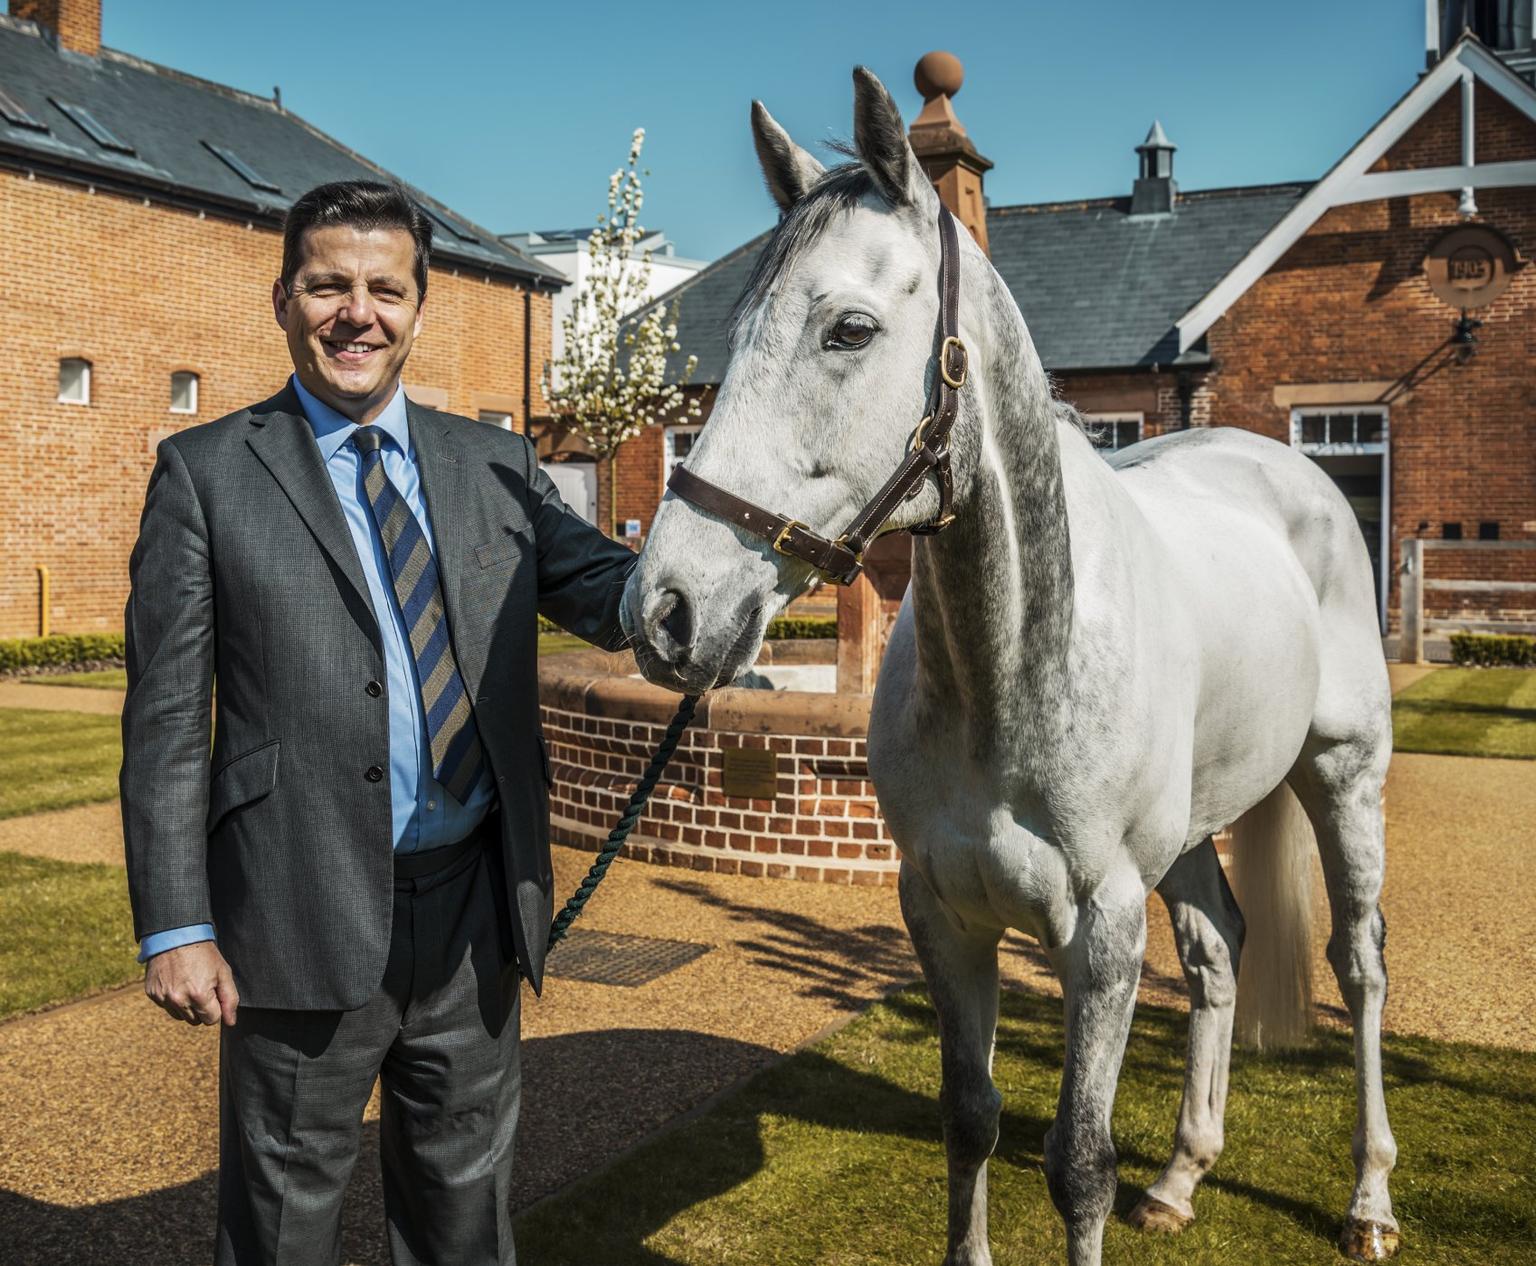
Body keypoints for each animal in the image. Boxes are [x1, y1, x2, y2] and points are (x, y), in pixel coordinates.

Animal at [619, 67, 1399, 1266]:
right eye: (735, 331)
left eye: (849, 329)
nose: (665, 611)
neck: (1016, 666)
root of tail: (1286, 469)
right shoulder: (943, 917)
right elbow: (971, 1120)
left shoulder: (1103, 933)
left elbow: (1077, 1165)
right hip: (1191, 834)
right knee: (1219, 952)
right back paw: (1183, 1176)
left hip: (1343, 779)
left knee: (1360, 966)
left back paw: (1368, 1201)